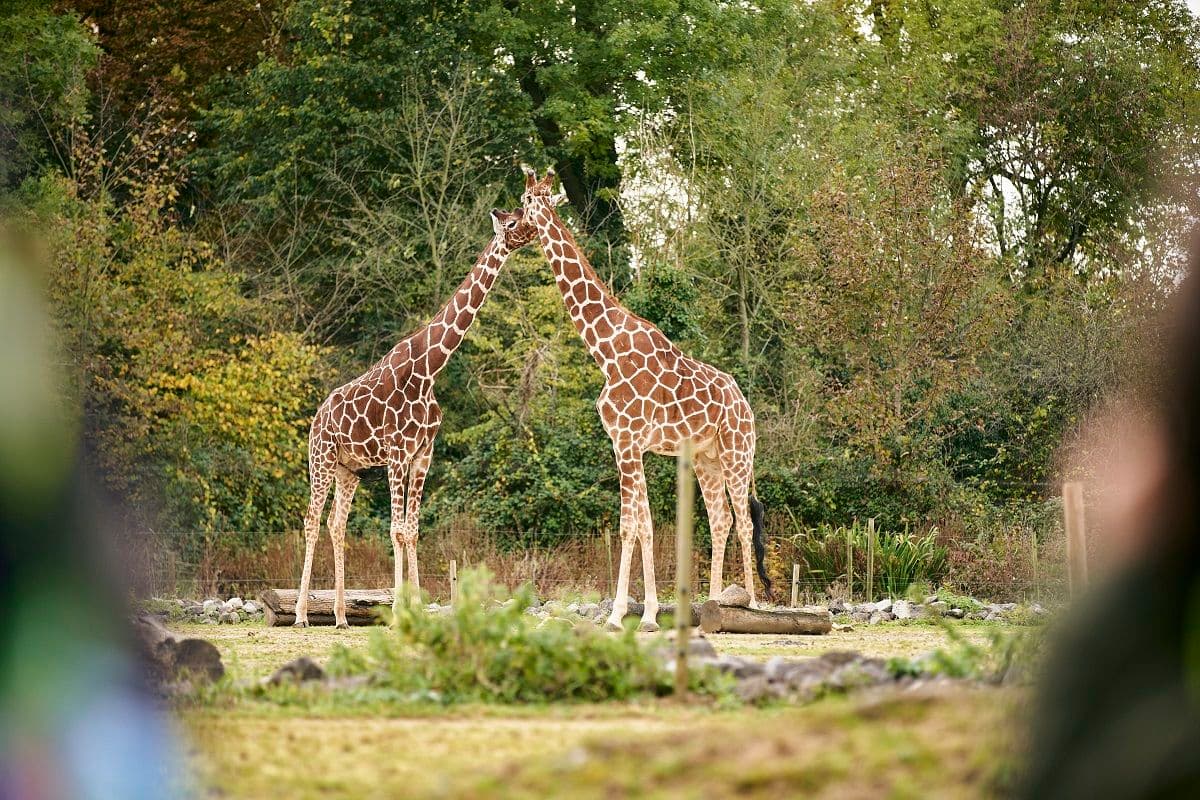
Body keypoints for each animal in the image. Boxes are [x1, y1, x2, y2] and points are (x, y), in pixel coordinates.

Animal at [293, 207, 537, 628]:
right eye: (512, 223)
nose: (536, 228)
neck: (429, 368)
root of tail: (317, 416)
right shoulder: (396, 452)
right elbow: (396, 530)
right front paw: (397, 611)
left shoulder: (423, 453)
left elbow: (413, 530)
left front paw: (417, 607)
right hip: (321, 458)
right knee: (311, 520)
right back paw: (301, 615)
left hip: (348, 469)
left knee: (336, 524)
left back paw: (340, 615)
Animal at [519, 166, 772, 632]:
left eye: (525, 201)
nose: (510, 220)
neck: (605, 350)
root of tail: (746, 405)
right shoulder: (628, 444)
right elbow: (644, 523)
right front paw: (647, 611)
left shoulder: (627, 440)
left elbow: (630, 526)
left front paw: (625, 615)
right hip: (706, 458)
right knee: (721, 519)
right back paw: (712, 603)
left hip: (737, 452)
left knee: (745, 521)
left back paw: (752, 603)